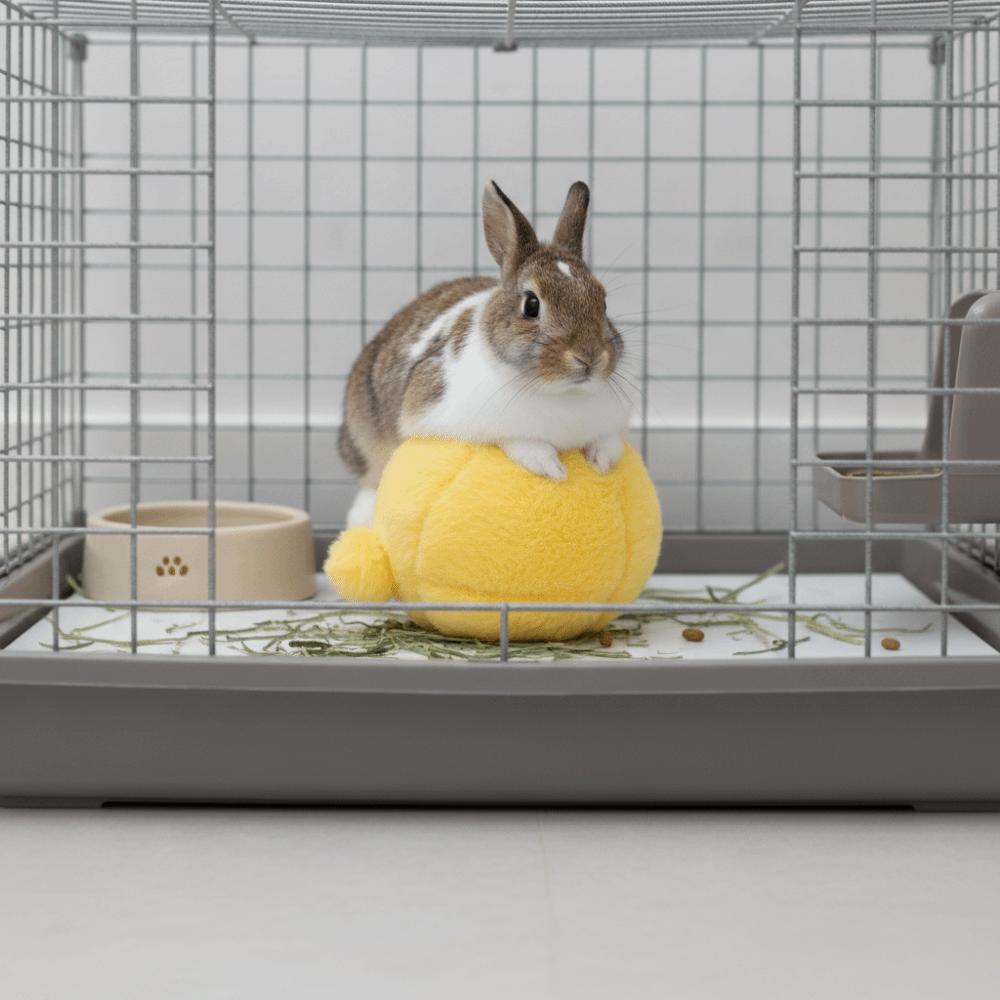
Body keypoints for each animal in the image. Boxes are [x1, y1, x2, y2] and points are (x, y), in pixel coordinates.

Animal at [338, 179, 630, 528]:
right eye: (532, 305)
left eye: (603, 302)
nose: (589, 358)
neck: (560, 393)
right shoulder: (443, 415)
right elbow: (515, 439)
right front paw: (549, 465)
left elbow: (607, 439)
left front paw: (603, 461)